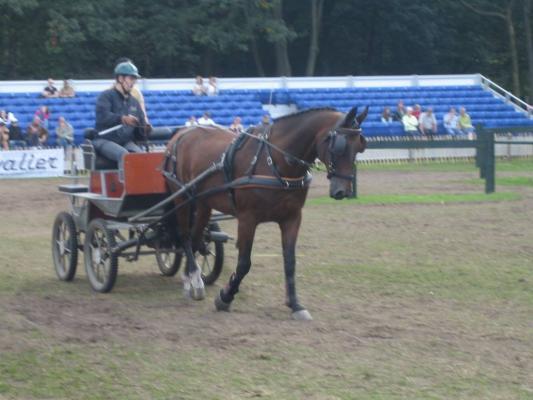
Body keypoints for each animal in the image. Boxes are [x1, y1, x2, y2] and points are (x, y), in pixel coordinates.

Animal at [162, 106, 366, 318]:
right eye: (340, 146)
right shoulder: (247, 219)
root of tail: (181, 133)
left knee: (196, 239)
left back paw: (192, 278)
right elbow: (244, 263)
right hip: (182, 198)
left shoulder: (292, 218)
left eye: (360, 146)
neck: (274, 161)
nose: (343, 191)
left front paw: (295, 304)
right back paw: (192, 279)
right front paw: (225, 297)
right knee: (185, 237)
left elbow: (290, 261)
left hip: (203, 203)